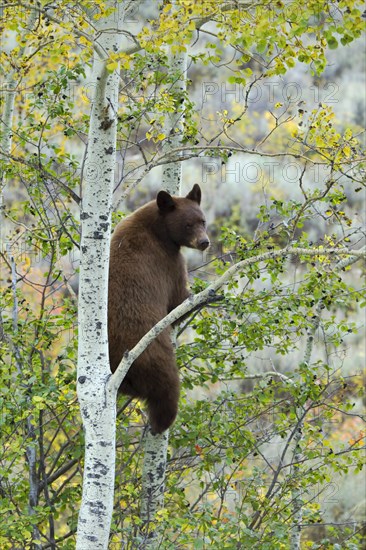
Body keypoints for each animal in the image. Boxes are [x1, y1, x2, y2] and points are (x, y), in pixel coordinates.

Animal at [107, 185, 209, 436]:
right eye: (188, 224)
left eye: (203, 220)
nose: (204, 242)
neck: (157, 229)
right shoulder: (168, 262)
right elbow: (178, 301)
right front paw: (204, 296)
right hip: (154, 354)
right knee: (167, 387)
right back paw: (160, 424)